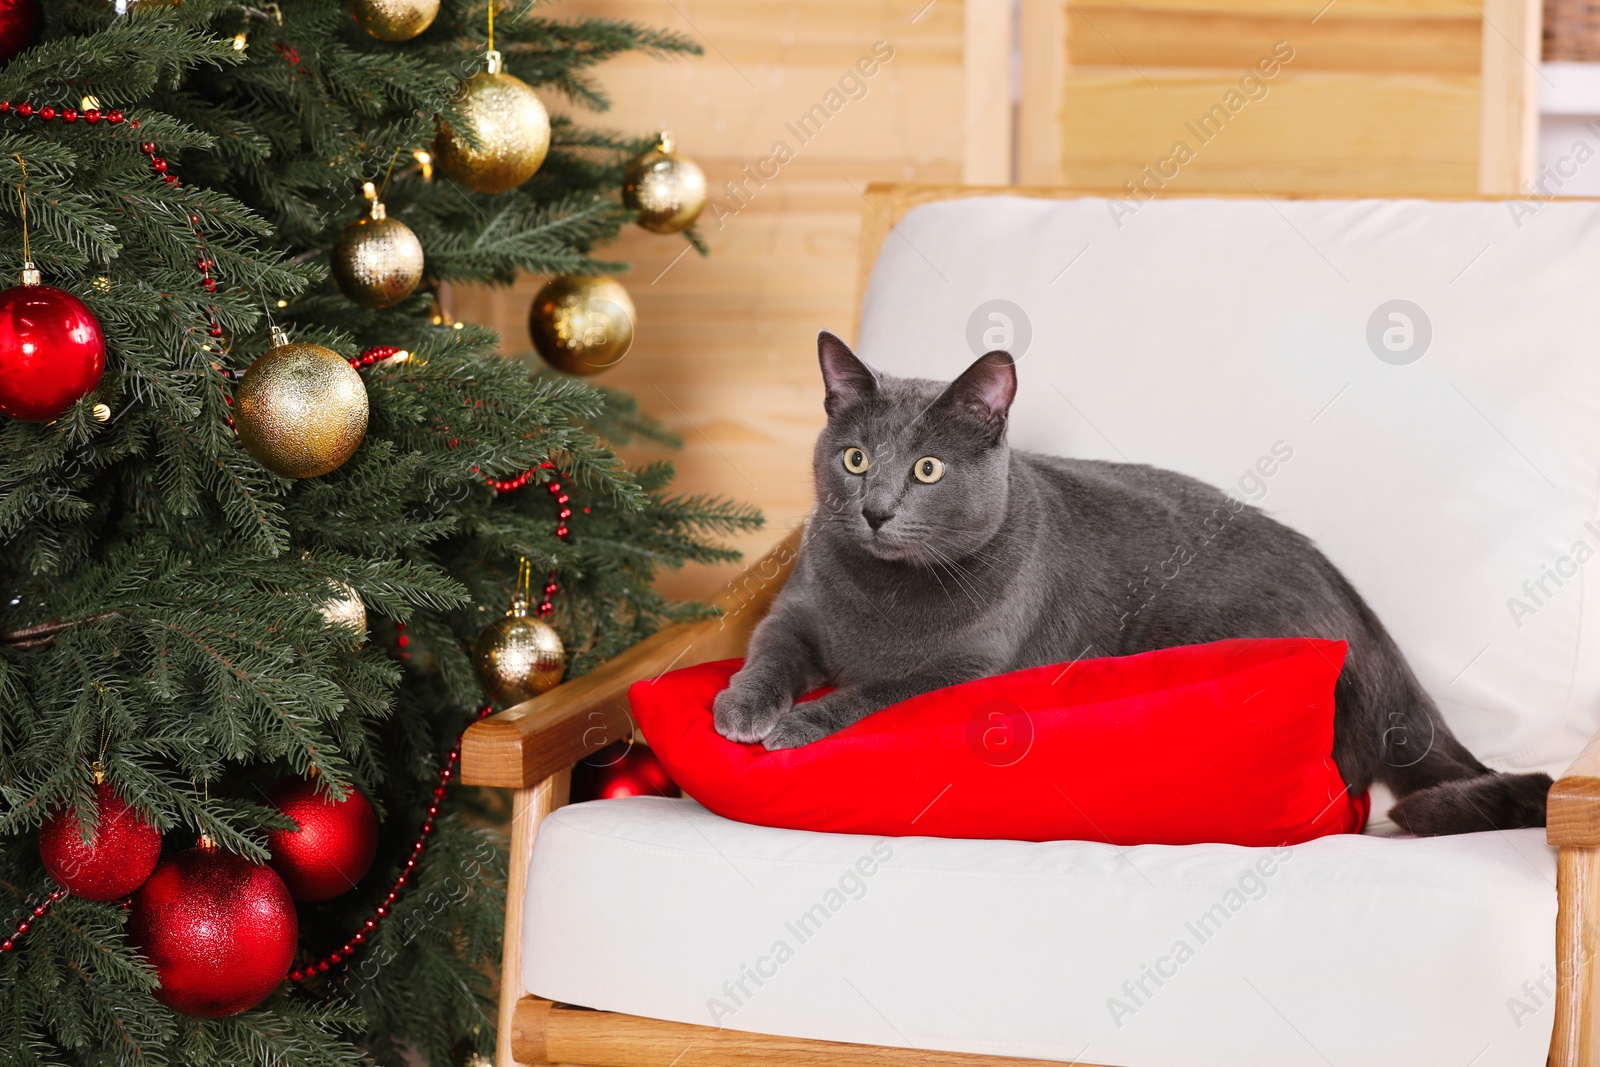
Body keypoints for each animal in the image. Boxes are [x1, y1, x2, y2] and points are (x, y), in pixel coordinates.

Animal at [713, 329, 1548, 838]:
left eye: (927, 468)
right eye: (854, 458)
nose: (876, 510)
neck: (884, 593)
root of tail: (1373, 634)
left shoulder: (966, 666)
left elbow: (874, 691)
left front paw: (797, 722)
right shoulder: (796, 608)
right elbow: (770, 649)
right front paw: (740, 705)